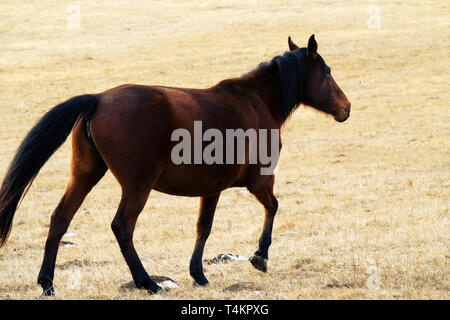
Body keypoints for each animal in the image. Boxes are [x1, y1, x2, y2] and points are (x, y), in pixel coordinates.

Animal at [0, 34, 350, 296]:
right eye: (328, 72)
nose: (346, 108)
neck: (255, 102)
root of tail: (98, 98)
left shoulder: (212, 189)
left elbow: (203, 227)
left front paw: (198, 273)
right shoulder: (259, 181)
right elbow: (273, 207)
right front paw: (260, 256)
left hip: (85, 175)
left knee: (60, 218)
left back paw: (47, 283)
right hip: (137, 185)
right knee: (122, 226)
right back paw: (147, 282)